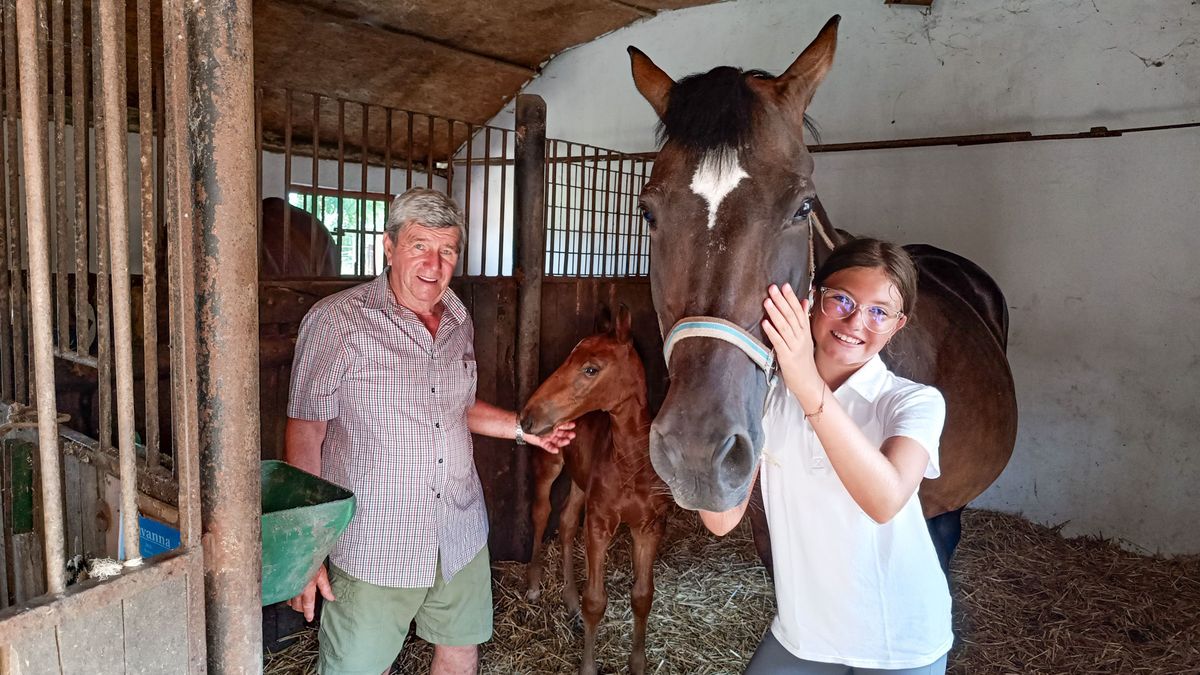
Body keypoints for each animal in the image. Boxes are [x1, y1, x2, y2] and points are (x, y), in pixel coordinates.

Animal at [523, 305, 672, 672]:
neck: (631, 463)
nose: (527, 417)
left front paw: (637, 664)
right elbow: (596, 601)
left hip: (580, 482)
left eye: (591, 369)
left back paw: (569, 602)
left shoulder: (650, 526)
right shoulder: (600, 522)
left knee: (565, 523)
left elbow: (643, 596)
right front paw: (589, 667)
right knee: (541, 513)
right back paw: (533, 587)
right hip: (549, 465)